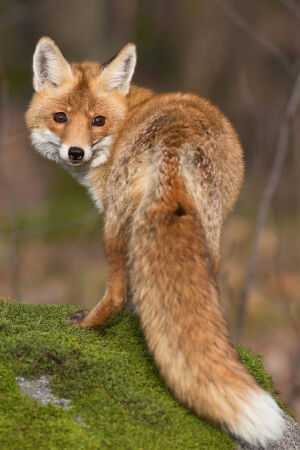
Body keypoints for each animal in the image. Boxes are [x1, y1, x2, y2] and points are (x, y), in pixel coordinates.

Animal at [25, 37, 284, 446]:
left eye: (98, 121)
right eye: (60, 118)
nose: (76, 152)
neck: (129, 113)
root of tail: (175, 143)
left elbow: (127, 289)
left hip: (114, 227)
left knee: (115, 292)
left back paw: (87, 326)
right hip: (210, 233)